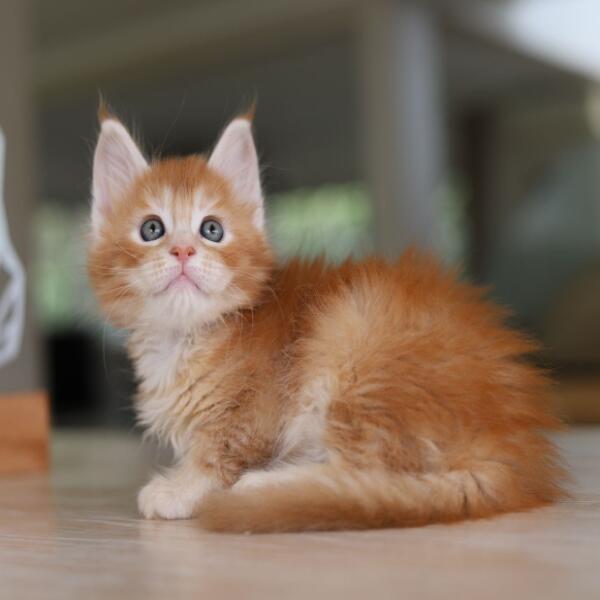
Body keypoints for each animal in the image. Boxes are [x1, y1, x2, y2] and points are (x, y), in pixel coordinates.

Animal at [87, 107, 566, 533]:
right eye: (152, 229)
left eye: (212, 230)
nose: (184, 250)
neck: (186, 337)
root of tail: (513, 448)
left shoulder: (253, 418)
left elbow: (220, 455)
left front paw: (181, 489)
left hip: (351, 341)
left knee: (372, 473)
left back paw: (269, 486)